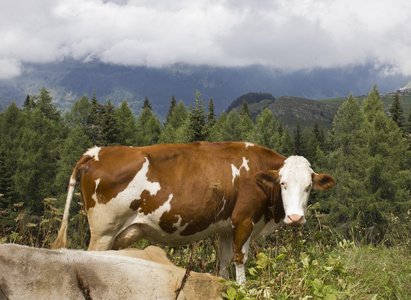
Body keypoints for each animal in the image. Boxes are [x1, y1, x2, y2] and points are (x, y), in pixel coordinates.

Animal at [53, 142, 334, 284]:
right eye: (283, 183)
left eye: (309, 186)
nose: (295, 218)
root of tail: (96, 152)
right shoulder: (244, 220)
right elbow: (240, 259)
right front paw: (243, 288)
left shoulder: (225, 227)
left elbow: (223, 261)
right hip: (103, 231)